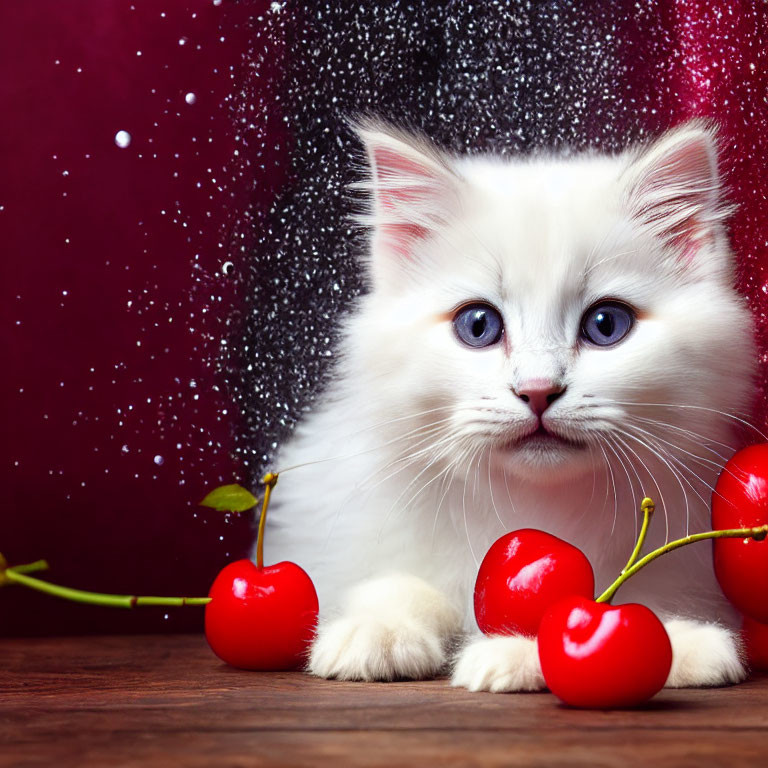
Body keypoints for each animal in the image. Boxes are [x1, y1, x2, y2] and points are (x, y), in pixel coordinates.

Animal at [260, 121, 756, 688]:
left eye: (606, 325)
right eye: (478, 326)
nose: (538, 390)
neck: (535, 510)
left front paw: (678, 644)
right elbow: (399, 586)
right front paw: (377, 632)